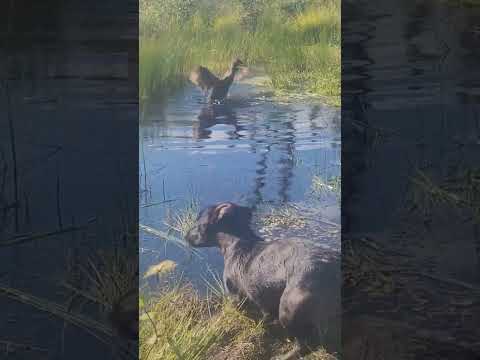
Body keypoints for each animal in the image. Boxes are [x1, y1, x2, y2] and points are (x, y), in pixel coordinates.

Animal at [185, 202, 342, 360]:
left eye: (198, 222)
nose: (185, 236)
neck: (236, 243)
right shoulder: (264, 301)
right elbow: (266, 316)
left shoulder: (237, 297)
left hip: (289, 308)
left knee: (304, 344)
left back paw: (284, 356)